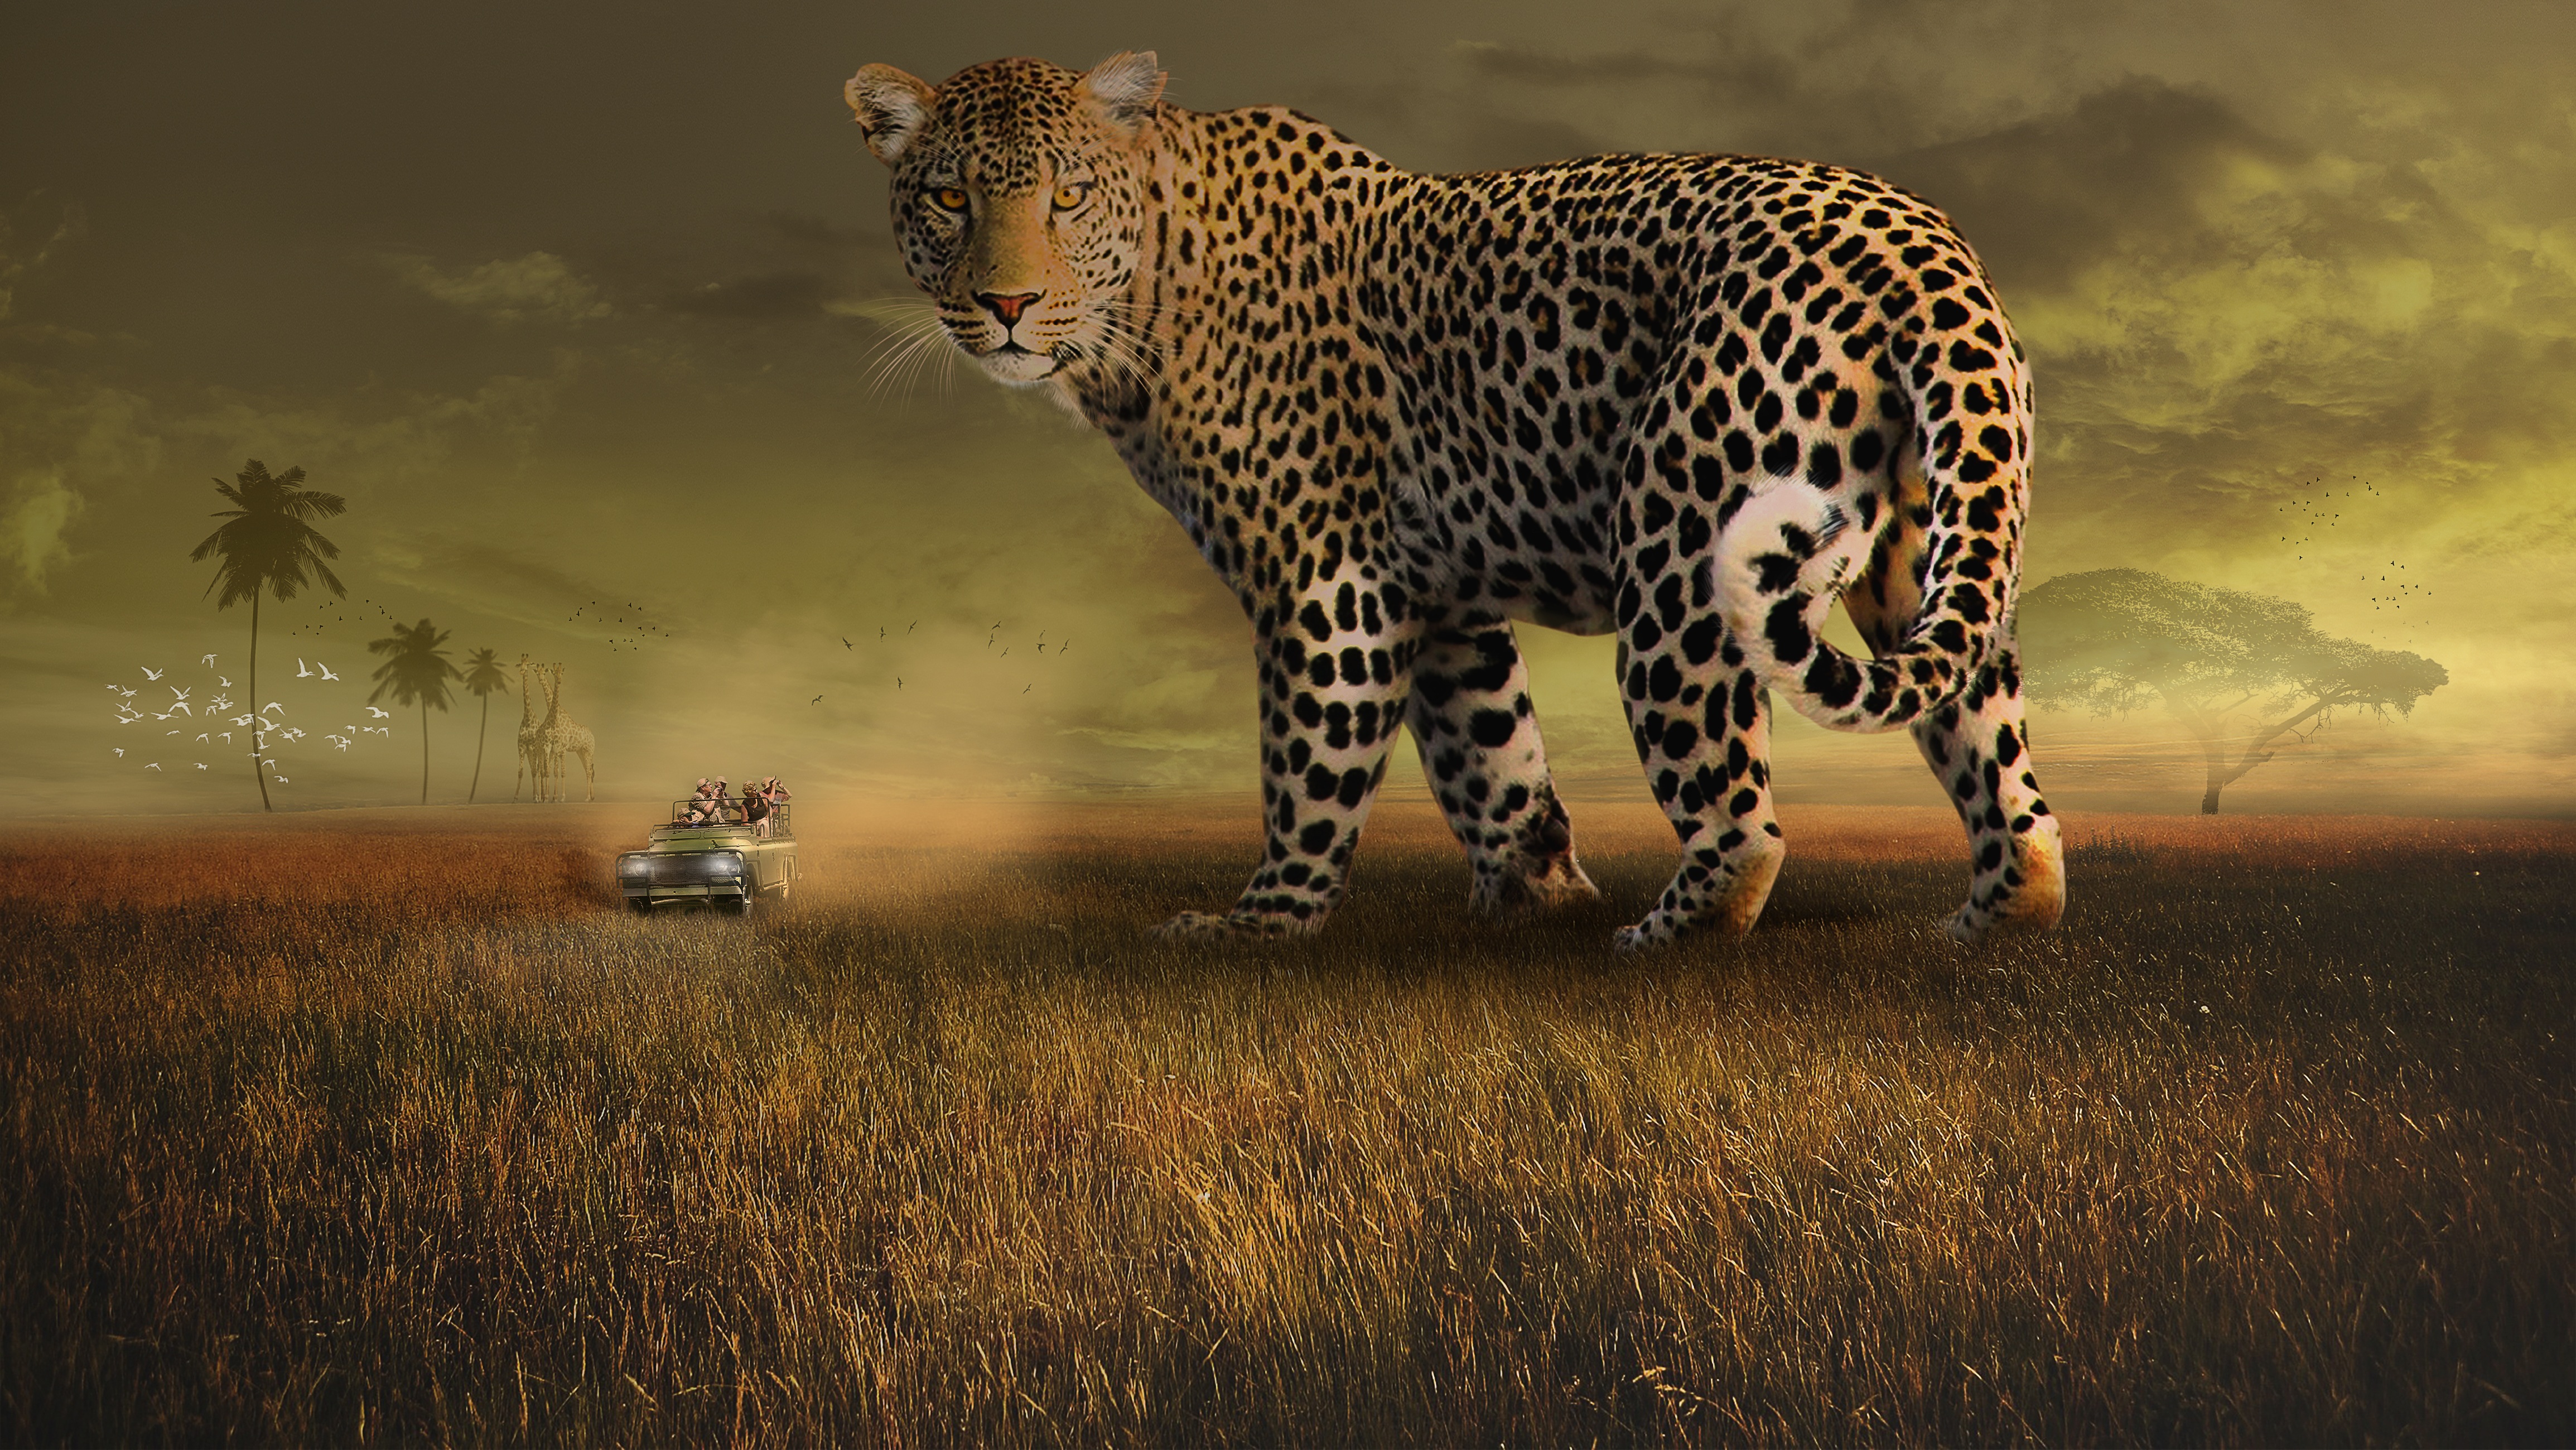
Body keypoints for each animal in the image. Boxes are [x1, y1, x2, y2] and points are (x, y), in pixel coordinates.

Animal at [842, 50, 2065, 947]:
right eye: (948, 197)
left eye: (1067, 195)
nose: (1006, 304)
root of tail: (1917, 243)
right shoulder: (1439, 600)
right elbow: (1493, 757)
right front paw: (1530, 899)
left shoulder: (1327, 582)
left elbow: (1307, 770)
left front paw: (1256, 930)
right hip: (1930, 543)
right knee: (2004, 771)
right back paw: (1985, 928)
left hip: (1677, 557)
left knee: (1741, 822)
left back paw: (1653, 946)